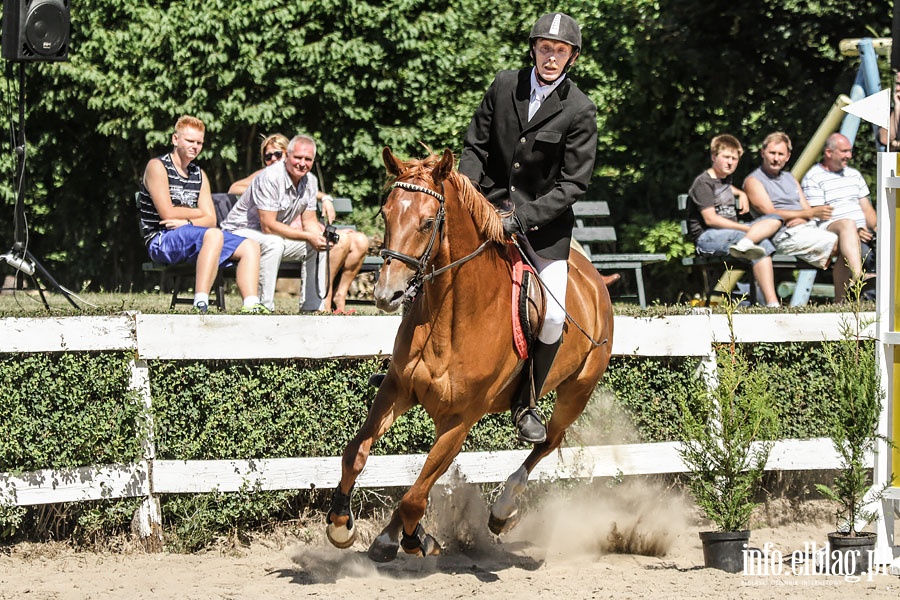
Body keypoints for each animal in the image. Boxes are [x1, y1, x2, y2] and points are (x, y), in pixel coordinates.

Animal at [326, 146, 616, 564]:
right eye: (386, 213)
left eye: (428, 222)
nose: (386, 294)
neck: (451, 317)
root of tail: (594, 278)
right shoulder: (398, 389)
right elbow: (356, 454)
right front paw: (340, 525)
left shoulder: (460, 420)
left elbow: (415, 497)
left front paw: (417, 540)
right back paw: (387, 538)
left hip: (577, 392)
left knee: (547, 442)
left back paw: (502, 510)